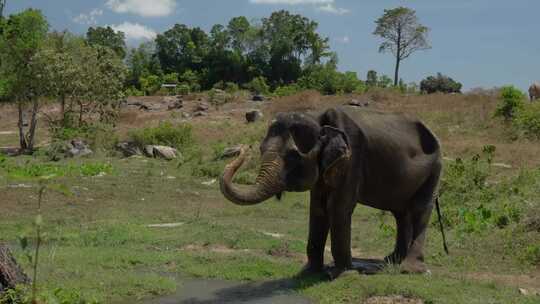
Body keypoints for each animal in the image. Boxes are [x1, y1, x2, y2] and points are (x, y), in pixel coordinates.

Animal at [219, 105, 448, 280]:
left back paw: (410, 269)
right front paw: (309, 272)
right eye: (260, 149)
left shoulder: (352, 159)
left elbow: (338, 208)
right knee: (400, 213)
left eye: (293, 156)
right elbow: (318, 209)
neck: (318, 117)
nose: (241, 149)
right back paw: (391, 260)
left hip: (435, 168)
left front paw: (340, 274)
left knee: (420, 210)